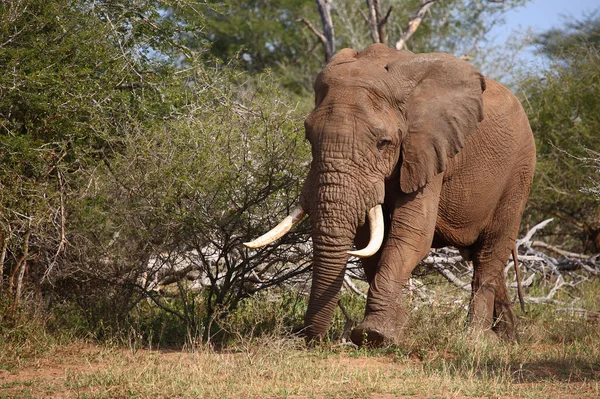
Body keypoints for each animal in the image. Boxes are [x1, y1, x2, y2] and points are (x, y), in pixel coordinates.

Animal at [244, 42, 536, 346]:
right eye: (308, 137)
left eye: (383, 143)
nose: (309, 337)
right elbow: (368, 240)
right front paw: (393, 328)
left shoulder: (429, 148)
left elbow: (412, 234)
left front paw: (375, 335)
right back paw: (508, 338)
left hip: (519, 172)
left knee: (489, 255)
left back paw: (477, 339)